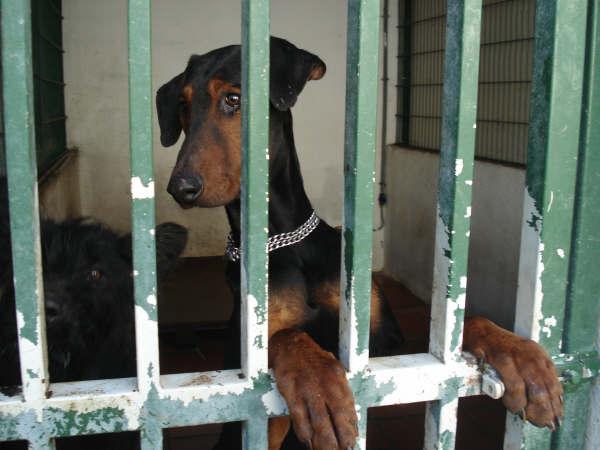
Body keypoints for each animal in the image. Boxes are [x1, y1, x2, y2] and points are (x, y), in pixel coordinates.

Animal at [157, 37, 564, 448]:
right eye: (183, 106)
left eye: (234, 98)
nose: (181, 188)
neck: (283, 242)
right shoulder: (250, 375)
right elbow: (288, 335)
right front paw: (318, 385)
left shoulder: (390, 351)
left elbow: (451, 332)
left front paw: (518, 356)